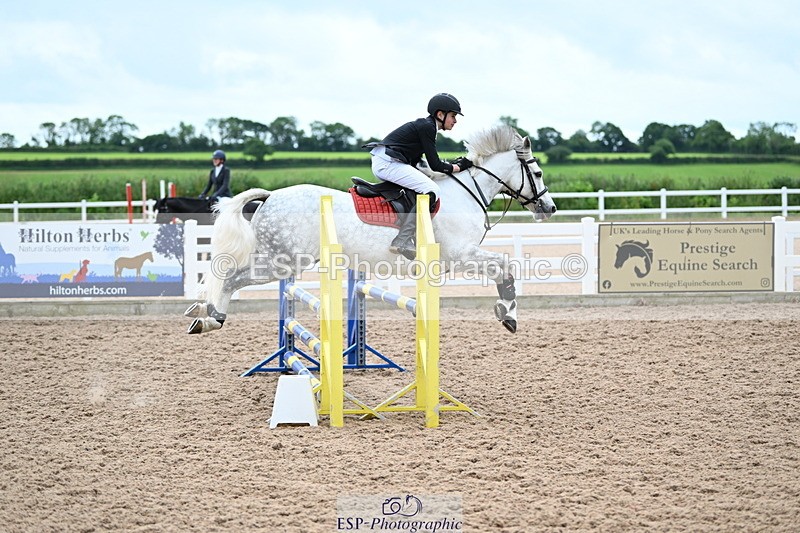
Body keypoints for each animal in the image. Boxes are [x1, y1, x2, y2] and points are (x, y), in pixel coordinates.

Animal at [185, 126, 557, 335]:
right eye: (537, 173)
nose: (549, 208)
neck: (466, 192)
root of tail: (271, 196)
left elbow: (504, 266)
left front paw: (506, 313)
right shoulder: (461, 255)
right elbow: (506, 265)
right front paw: (508, 314)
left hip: (277, 259)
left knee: (228, 275)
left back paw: (203, 314)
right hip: (283, 262)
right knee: (231, 278)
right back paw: (211, 318)